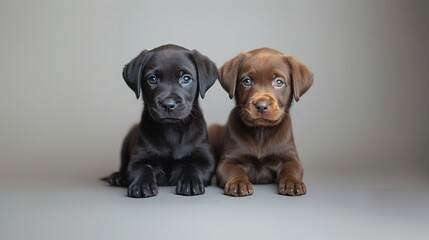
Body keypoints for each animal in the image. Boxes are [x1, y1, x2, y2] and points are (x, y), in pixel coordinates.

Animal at [104, 44, 217, 198]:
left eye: (186, 78)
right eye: (152, 79)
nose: (168, 104)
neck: (172, 129)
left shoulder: (206, 159)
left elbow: (195, 167)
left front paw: (190, 182)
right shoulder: (138, 158)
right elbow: (142, 169)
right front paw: (142, 184)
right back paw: (118, 177)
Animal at [209, 48, 312, 197]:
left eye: (279, 82)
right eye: (247, 81)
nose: (262, 106)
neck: (261, 131)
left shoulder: (291, 158)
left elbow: (291, 169)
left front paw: (292, 182)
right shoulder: (227, 161)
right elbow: (235, 170)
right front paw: (238, 183)